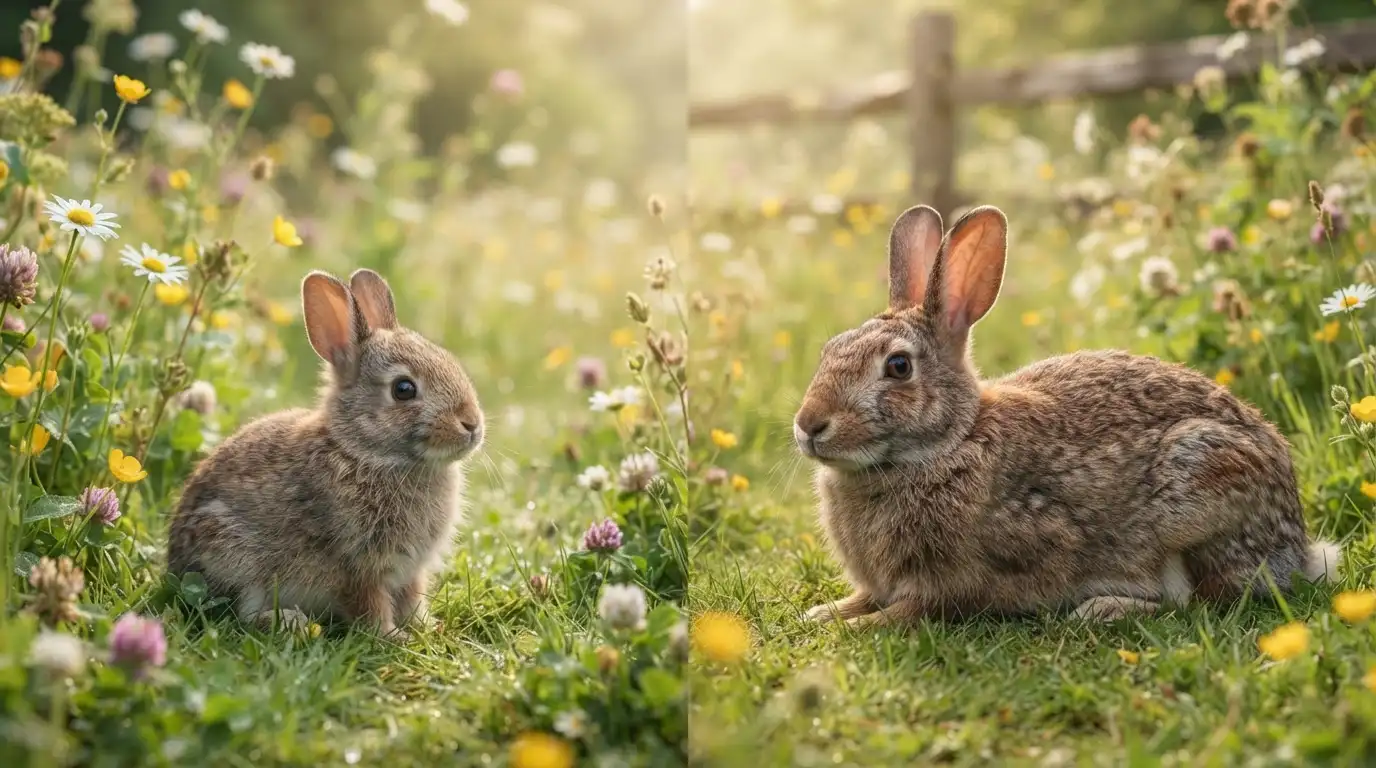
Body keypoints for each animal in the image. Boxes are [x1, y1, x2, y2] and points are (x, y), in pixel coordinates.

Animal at [167, 268, 484, 637]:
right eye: (403, 389)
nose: (472, 424)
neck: (365, 452)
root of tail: (172, 566)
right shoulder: (356, 565)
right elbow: (369, 605)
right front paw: (391, 636)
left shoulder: (410, 571)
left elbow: (412, 599)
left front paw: (427, 627)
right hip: (233, 554)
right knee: (241, 612)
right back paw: (291, 622)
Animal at [794, 204, 1339, 628]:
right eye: (829, 349)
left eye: (898, 367)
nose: (808, 425)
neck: (949, 442)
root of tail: (1297, 548)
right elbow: (862, 599)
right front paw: (822, 613)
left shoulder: (960, 580)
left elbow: (909, 611)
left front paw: (850, 628)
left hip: (1197, 491)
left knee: (1194, 602)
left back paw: (1103, 608)